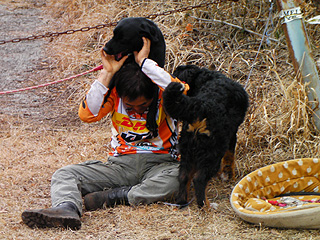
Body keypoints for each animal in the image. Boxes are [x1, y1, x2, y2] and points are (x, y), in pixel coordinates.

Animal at [162, 64, 250, 208]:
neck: (205, 78)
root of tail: (200, 106)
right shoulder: (232, 135)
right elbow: (229, 158)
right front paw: (229, 177)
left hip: (187, 150)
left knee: (183, 177)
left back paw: (182, 202)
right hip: (212, 152)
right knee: (199, 179)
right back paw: (206, 205)